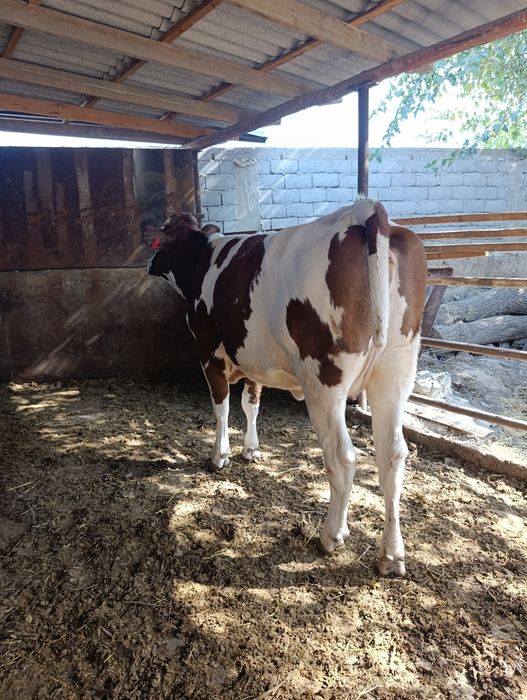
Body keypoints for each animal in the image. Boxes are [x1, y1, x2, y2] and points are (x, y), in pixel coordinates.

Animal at [145, 199, 427, 576]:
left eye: (160, 237)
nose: (149, 264)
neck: (203, 261)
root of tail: (363, 212)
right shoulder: (253, 358)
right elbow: (251, 404)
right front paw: (251, 450)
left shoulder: (210, 352)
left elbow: (221, 407)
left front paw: (220, 456)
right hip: (395, 374)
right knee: (392, 457)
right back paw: (392, 555)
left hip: (323, 381)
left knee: (342, 456)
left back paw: (331, 535)